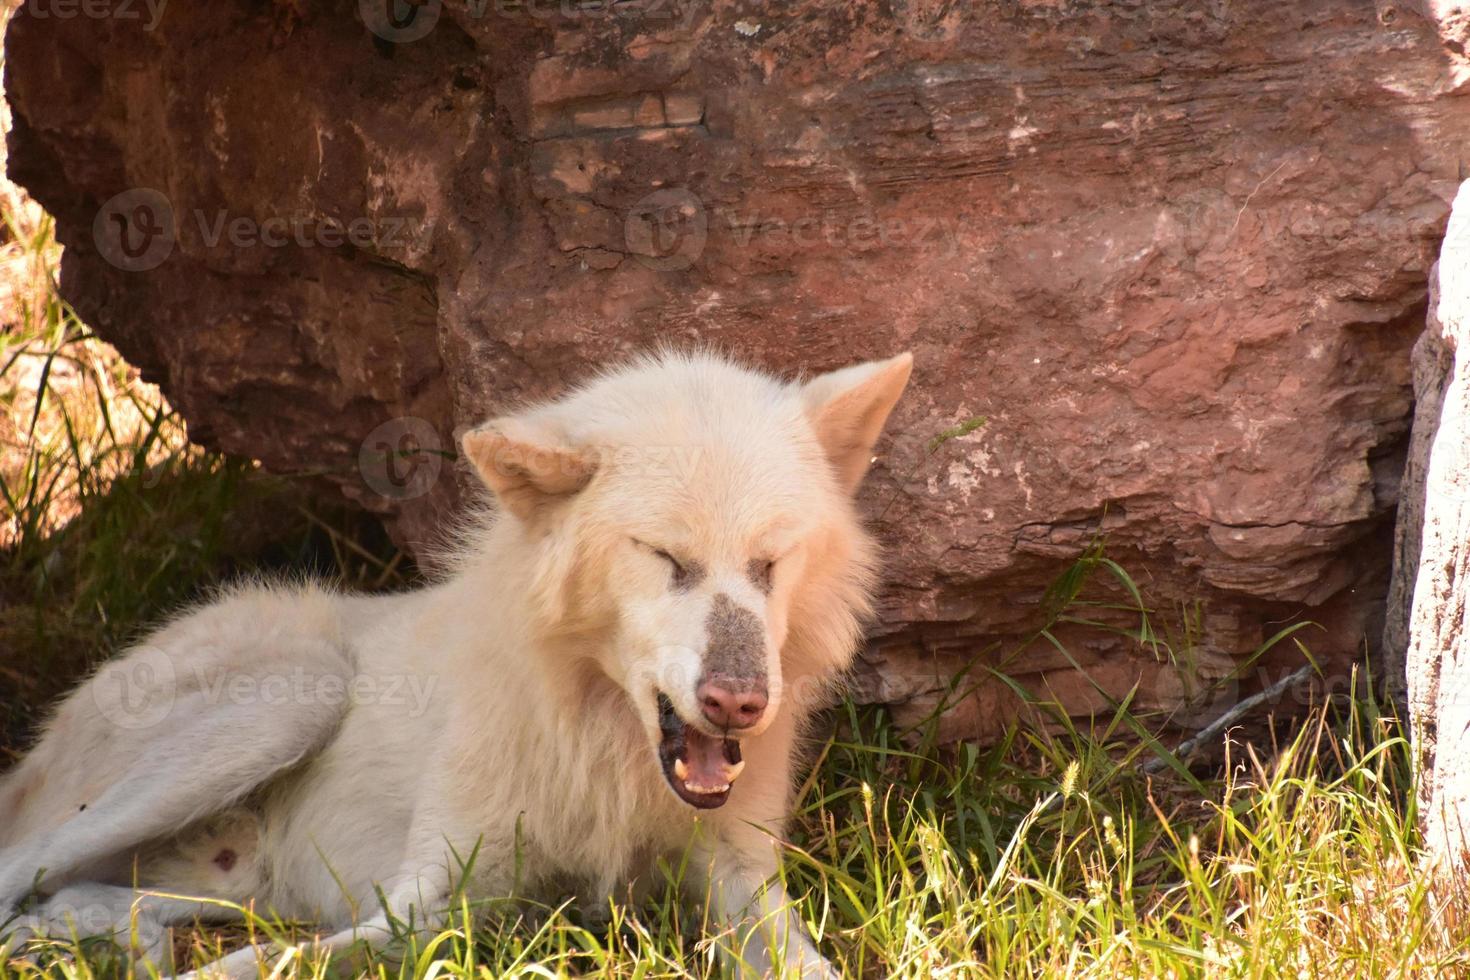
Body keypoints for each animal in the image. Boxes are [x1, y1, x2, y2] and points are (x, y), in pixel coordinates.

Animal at [0, 348, 911, 975]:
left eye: (768, 563)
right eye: (666, 558)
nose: (739, 703)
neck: (599, 750)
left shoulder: (740, 884)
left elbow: (810, 964)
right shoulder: (424, 900)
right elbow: (270, 963)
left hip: (222, 880)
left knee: (76, 896)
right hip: (292, 698)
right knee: (21, 868)